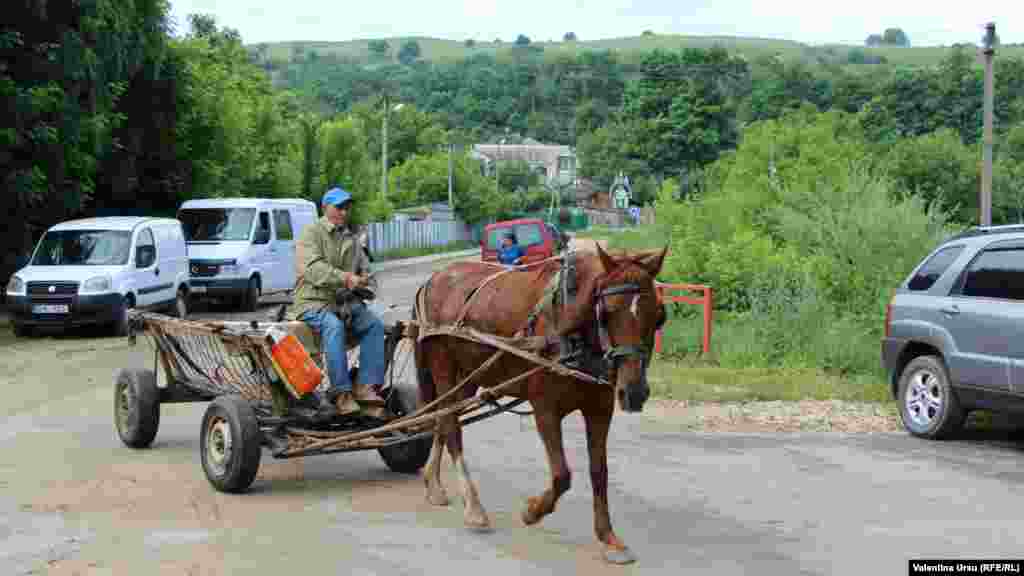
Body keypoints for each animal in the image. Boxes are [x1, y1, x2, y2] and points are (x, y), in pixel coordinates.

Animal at [411, 240, 667, 561]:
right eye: (606, 313)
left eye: (659, 316)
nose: (633, 392)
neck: (570, 329)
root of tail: (434, 279)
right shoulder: (545, 408)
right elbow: (561, 475)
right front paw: (532, 511)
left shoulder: (600, 408)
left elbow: (599, 471)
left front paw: (609, 538)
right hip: (443, 365)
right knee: (451, 426)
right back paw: (473, 506)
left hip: (468, 376)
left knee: (443, 421)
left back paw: (433, 482)